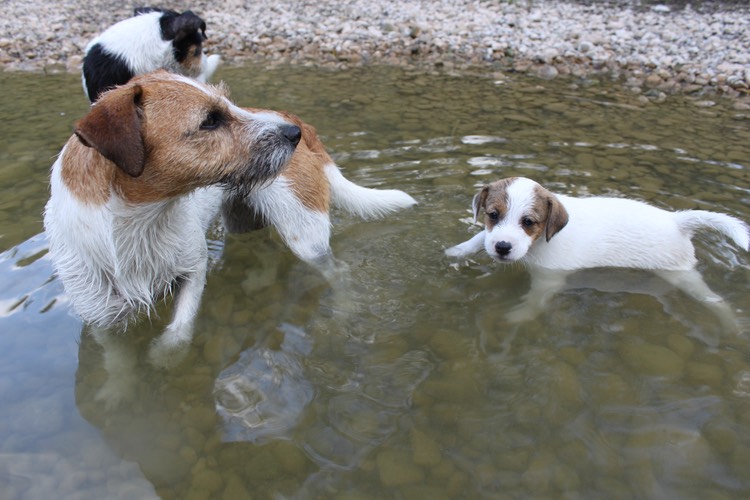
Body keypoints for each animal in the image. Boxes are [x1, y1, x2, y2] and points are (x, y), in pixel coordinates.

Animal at [44, 71, 302, 364]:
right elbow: (119, 362)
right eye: (210, 120)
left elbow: (180, 330)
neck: (139, 223)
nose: (295, 132)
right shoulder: (103, 319)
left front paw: (163, 357)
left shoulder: (194, 267)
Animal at [446, 178, 750, 326]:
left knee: (715, 300)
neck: (541, 241)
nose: (502, 247)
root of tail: (677, 221)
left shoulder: (549, 279)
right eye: (493, 215)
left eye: (528, 222)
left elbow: (534, 302)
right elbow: (480, 237)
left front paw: (518, 316)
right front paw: (457, 251)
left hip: (681, 275)